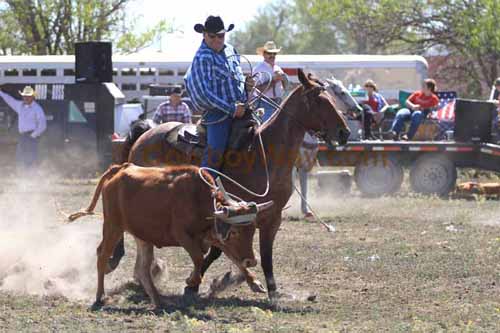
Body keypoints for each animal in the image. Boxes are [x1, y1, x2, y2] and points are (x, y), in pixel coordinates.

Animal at [114, 68, 350, 300]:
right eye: (320, 101)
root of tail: (145, 134)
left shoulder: (272, 216)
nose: (344, 132)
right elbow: (220, 249)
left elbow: (264, 254)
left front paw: (271, 290)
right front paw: (194, 283)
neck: (265, 156)